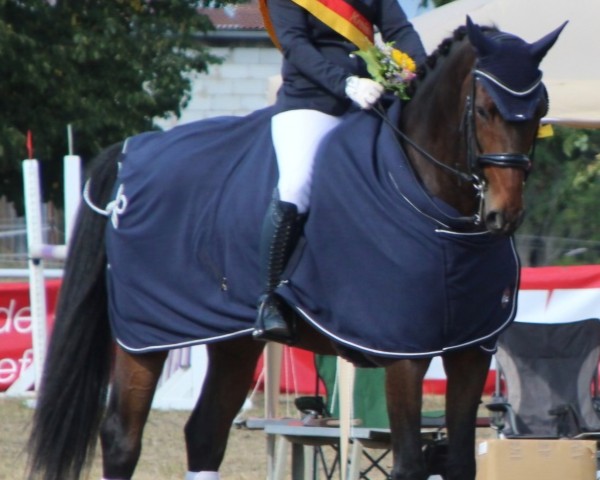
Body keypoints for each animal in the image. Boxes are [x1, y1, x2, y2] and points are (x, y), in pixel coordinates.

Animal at [28, 16, 564, 480]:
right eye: (485, 109)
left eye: (539, 111)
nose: (503, 215)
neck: (433, 208)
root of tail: (132, 152)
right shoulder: (404, 356)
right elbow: (410, 464)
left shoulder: (471, 351)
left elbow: (461, 463)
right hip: (142, 334)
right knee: (123, 436)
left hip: (233, 340)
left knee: (205, 433)